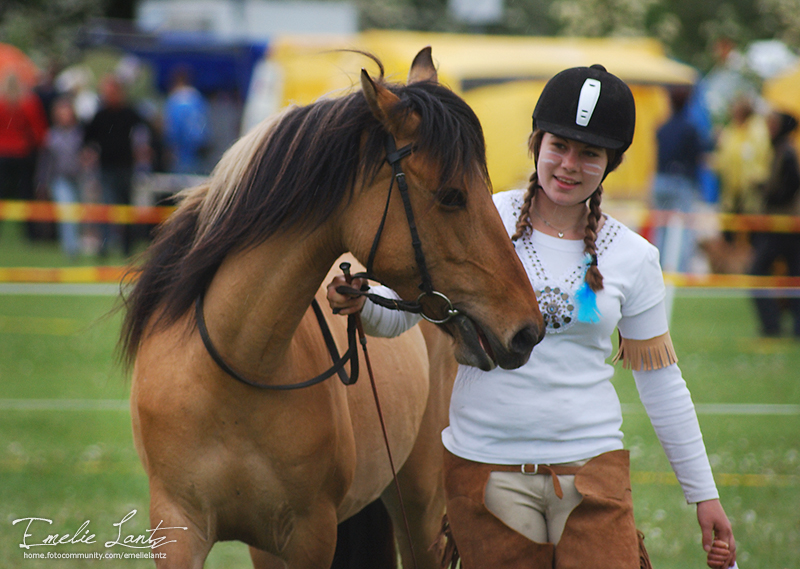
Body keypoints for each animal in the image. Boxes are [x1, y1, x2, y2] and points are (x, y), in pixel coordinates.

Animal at [120, 50, 544, 568]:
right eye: (451, 196)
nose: (527, 329)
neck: (234, 371)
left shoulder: (311, 535)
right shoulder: (179, 527)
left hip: (418, 506)